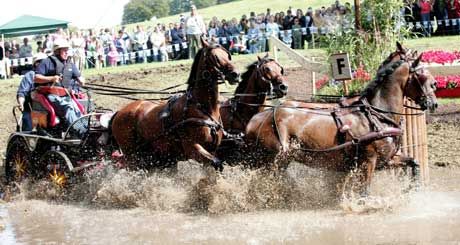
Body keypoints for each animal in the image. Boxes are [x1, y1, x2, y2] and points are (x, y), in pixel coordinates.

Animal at [110, 37, 241, 171]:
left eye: (227, 55)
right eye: (214, 57)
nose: (235, 74)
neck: (202, 108)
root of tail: (118, 113)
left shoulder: (212, 149)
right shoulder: (192, 148)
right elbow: (217, 163)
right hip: (132, 156)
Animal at [246, 54, 436, 194]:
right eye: (423, 76)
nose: (433, 103)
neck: (377, 115)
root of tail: (258, 118)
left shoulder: (386, 159)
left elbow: (414, 163)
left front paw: (411, 190)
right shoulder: (369, 161)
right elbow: (365, 191)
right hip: (276, 159)